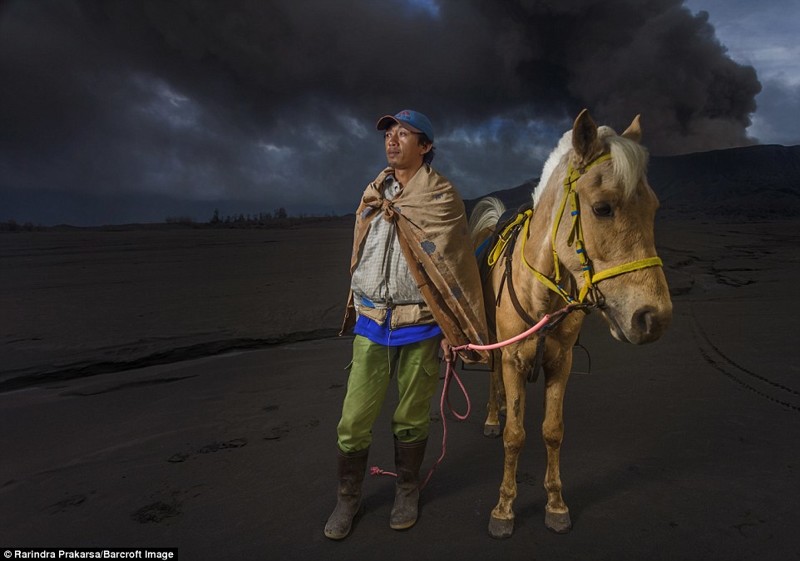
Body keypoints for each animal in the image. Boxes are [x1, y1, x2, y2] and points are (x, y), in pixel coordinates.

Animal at [468, 109, 676, 540]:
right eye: (602, 208)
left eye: (653, 208)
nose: (654, 318)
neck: (541, 294)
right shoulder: (513, 358)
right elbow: (515, 437)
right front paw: (504, 510)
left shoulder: (560, 362)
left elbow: (553, 431)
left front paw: (556, 504)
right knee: (494, 380)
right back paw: (494, 415)